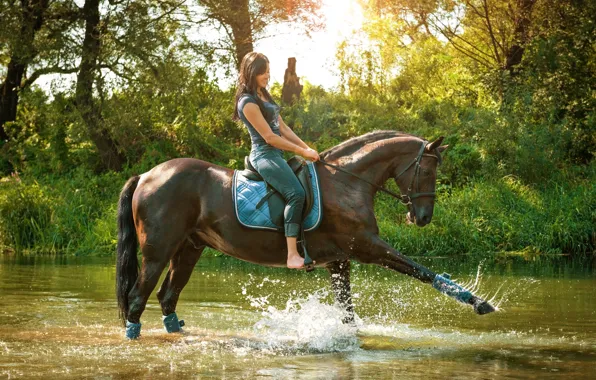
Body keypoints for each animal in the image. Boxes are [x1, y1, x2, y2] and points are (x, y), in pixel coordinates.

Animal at [115, 131, 494, 338]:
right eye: (428, 170)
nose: (423, 218)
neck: (348, 182)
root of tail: (147, 175)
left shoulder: (340, 260)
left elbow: (347, 310)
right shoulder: (368, 248)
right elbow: (423, 271)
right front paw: (479, 302)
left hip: (190, 249)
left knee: (167, 296)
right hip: (158, 251)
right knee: (137, 297)